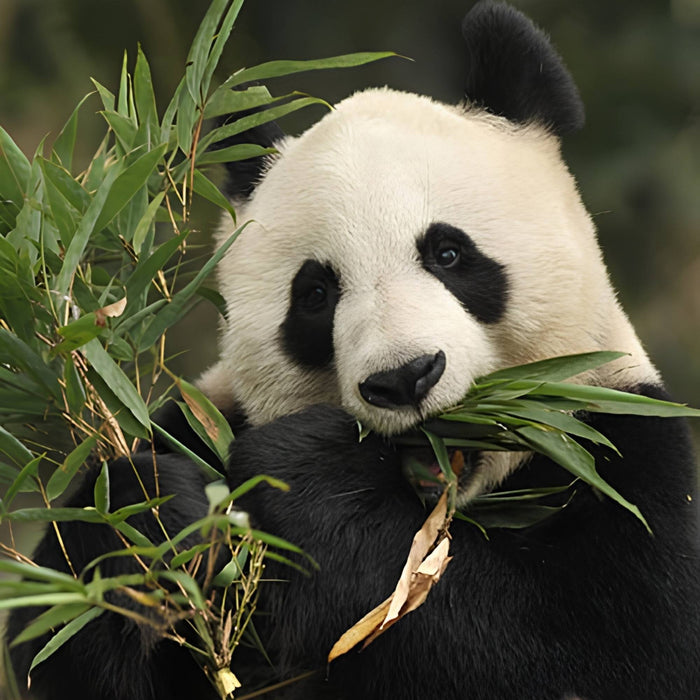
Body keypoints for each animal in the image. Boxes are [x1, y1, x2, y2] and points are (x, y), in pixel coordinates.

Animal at [7, 1, 700, 699]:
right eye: (315, 294)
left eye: (449, 253)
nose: (405, 378)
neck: (441, 505)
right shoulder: (204, 418)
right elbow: (54, 629)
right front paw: (154, 517)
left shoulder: (623, 449)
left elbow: (590, 653)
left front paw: (314, 473)